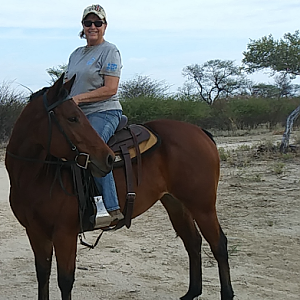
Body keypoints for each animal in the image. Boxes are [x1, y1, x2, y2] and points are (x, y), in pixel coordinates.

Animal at [4, 75, 234, 300]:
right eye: (72, 118)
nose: (107, 158)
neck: (35, 176)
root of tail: (200, 132)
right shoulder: (36, 232)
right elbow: (42, 275)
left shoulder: (64, 234)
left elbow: (65, 281)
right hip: (176, 203)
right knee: (193, 243)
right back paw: (192, 292)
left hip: (202, 206)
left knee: (219, 245)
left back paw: (226, 293)